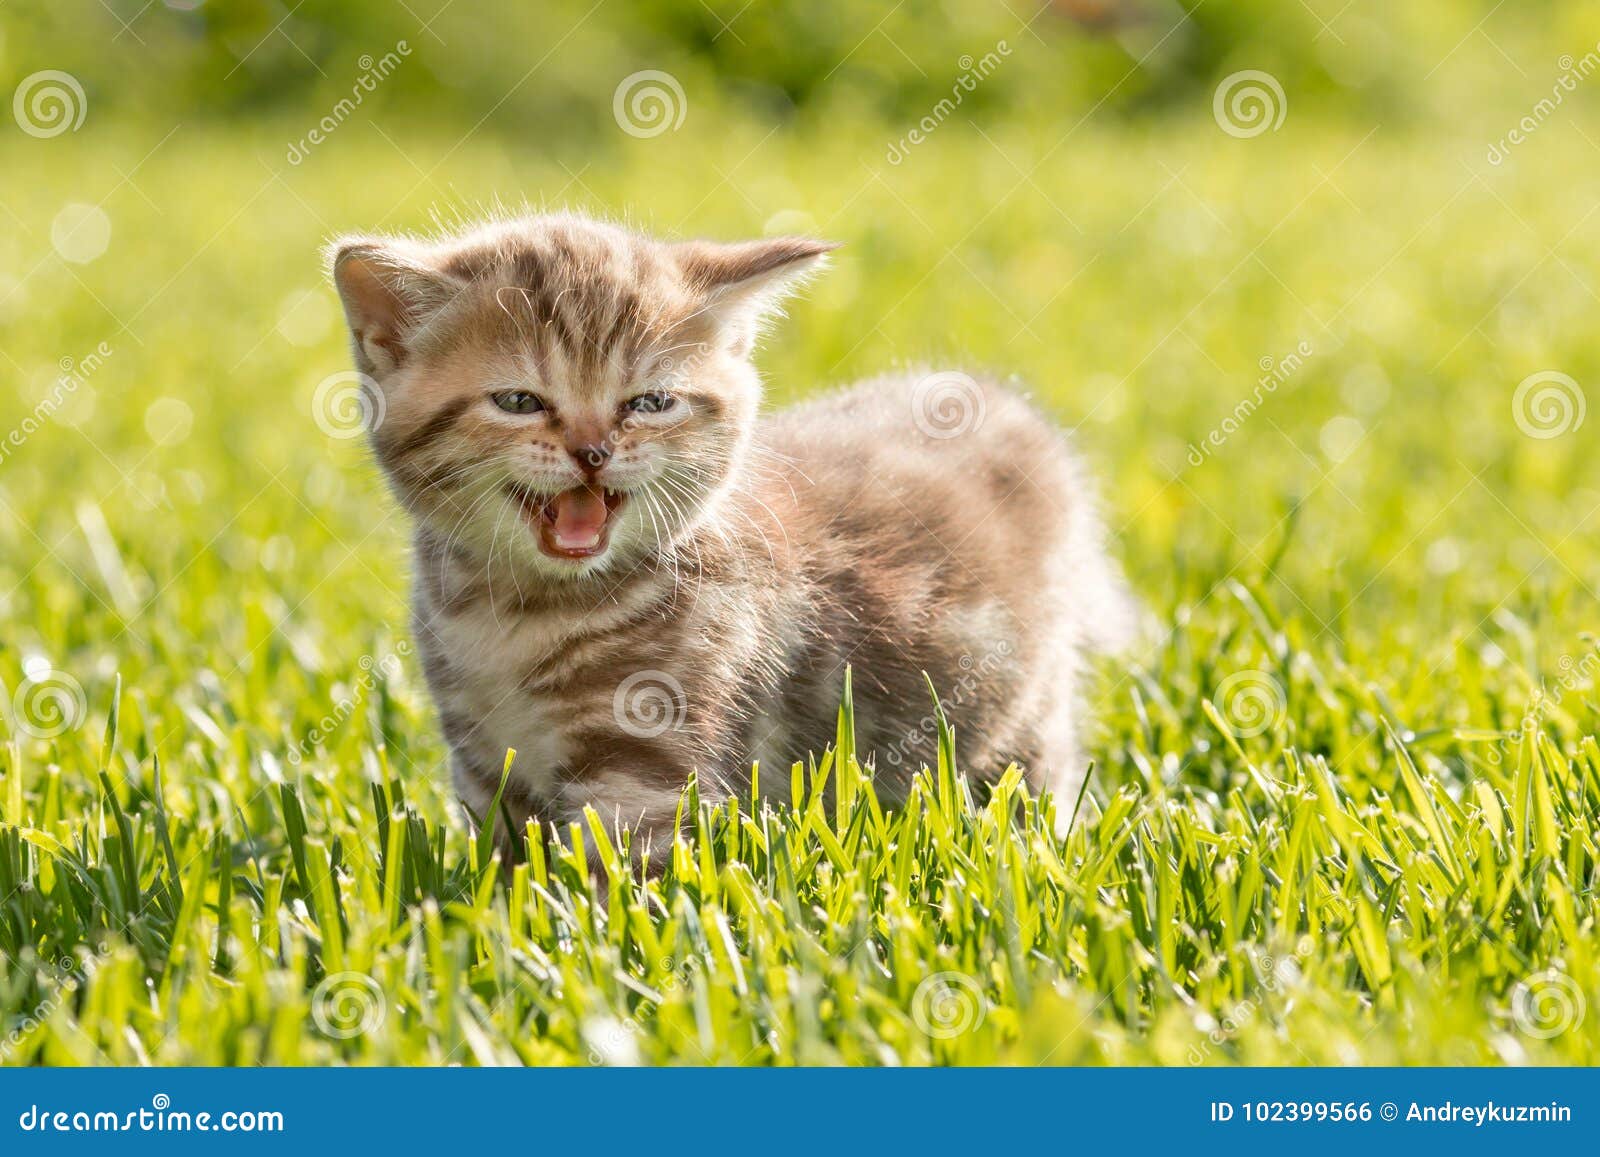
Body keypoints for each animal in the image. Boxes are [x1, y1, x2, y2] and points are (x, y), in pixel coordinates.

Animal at [328, 212, 1126, 864]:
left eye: (649, 402)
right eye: (519, 401)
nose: (592, 451)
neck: (517, 614)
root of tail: (1012, 409)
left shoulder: (645, 767)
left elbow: (615, 888)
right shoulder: (486, 760)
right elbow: (512, 870)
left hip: (1025, 717)